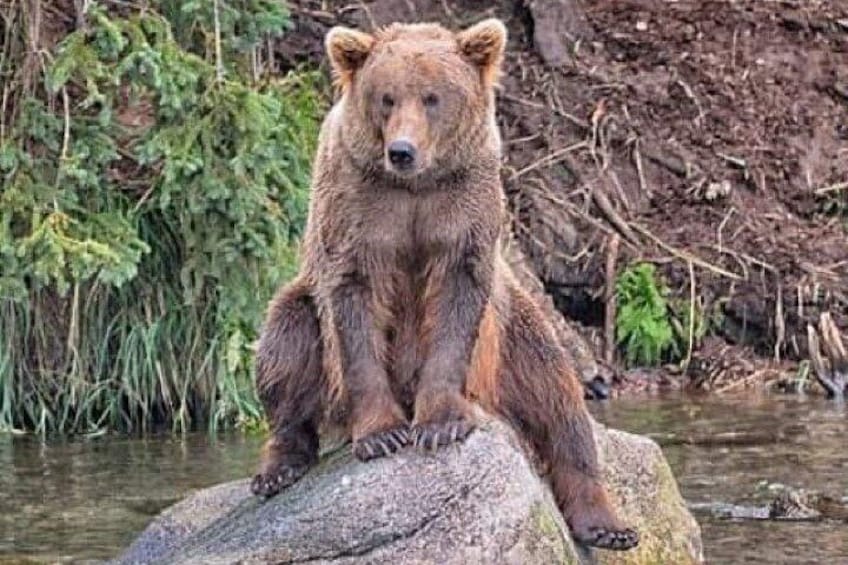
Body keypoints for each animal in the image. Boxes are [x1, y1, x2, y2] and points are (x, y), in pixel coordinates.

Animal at [250, 18, 639, 551]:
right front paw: (382, 434)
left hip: (513, 333)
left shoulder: (464, 202)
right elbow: (353, 307)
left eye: (433, 97)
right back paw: (279, 467)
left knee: (557, 399)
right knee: (286, 341)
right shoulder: (357, 204)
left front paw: (440, 425)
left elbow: (456, 304)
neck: (417, 184)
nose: (401, 151)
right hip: (303, 307)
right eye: (387, 97)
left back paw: (606, 524)